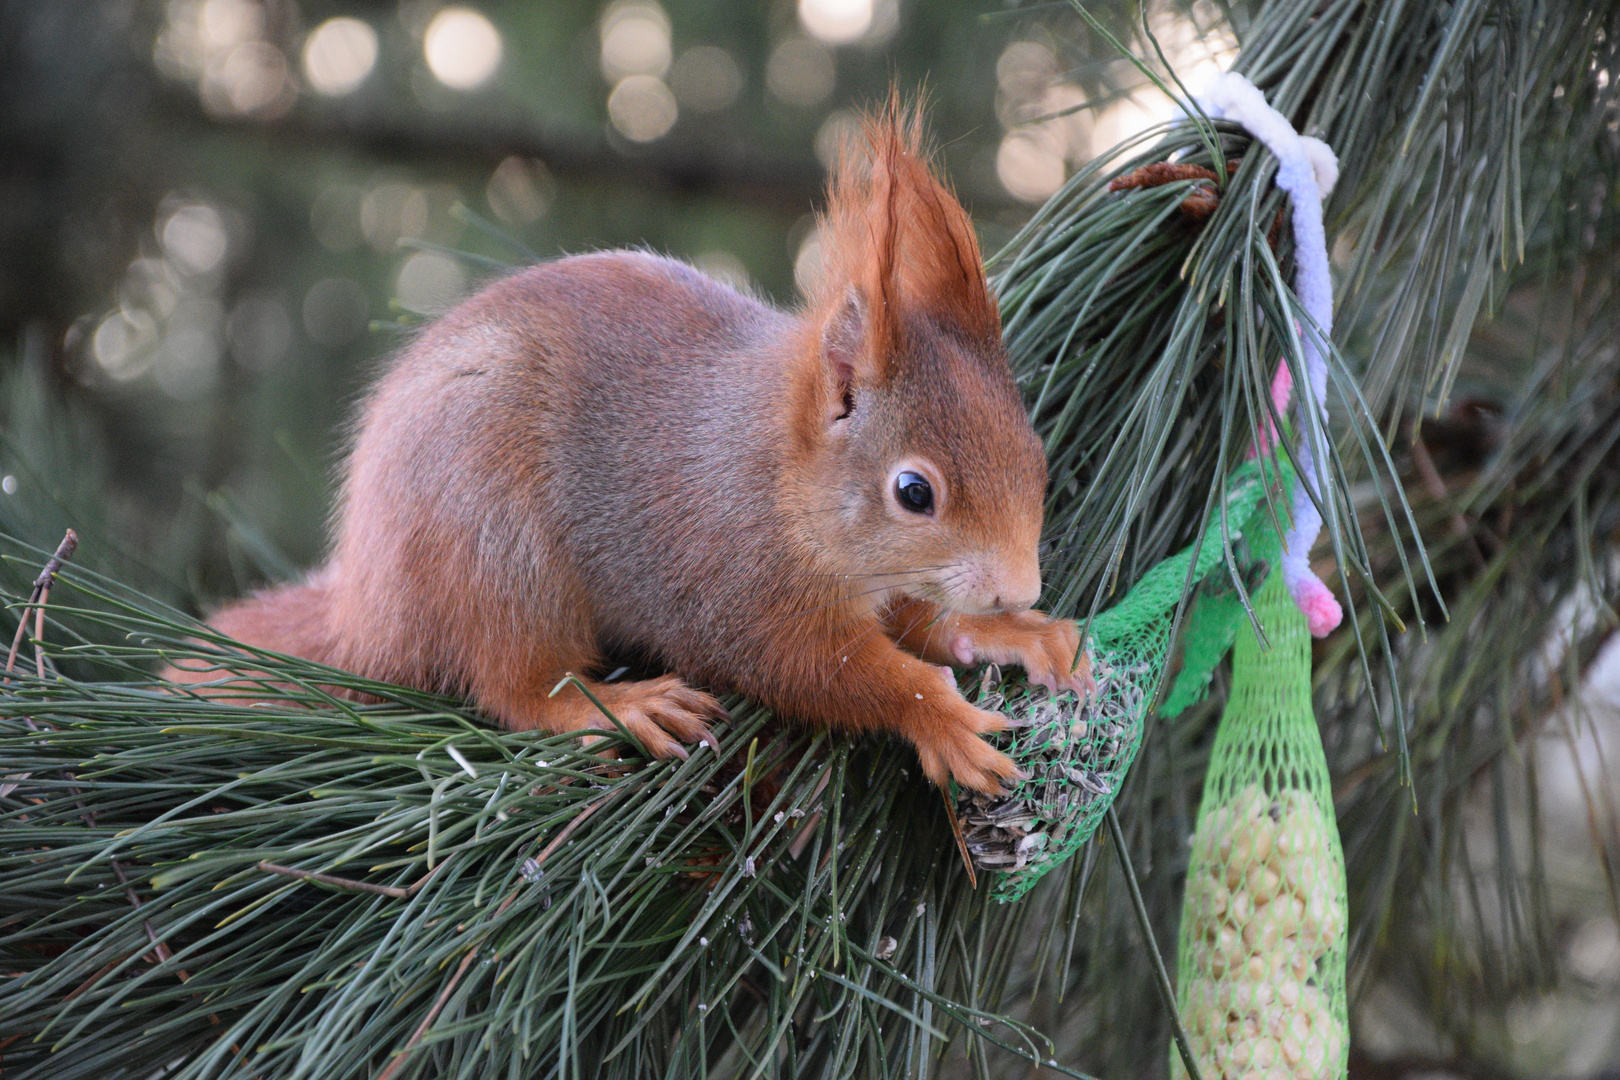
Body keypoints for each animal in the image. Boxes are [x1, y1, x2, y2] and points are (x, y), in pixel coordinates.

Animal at [167, 101, 1088, 793]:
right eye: (914, 492)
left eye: (1036, 456)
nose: (1020, 585)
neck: (778, 470)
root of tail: (364, 606)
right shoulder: (734, 583)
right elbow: (818, 671)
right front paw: (940, 716)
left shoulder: (884, 583)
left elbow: (925, 621)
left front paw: (1013, 632)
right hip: (491, 547)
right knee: (513, 683)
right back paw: (618, 706)